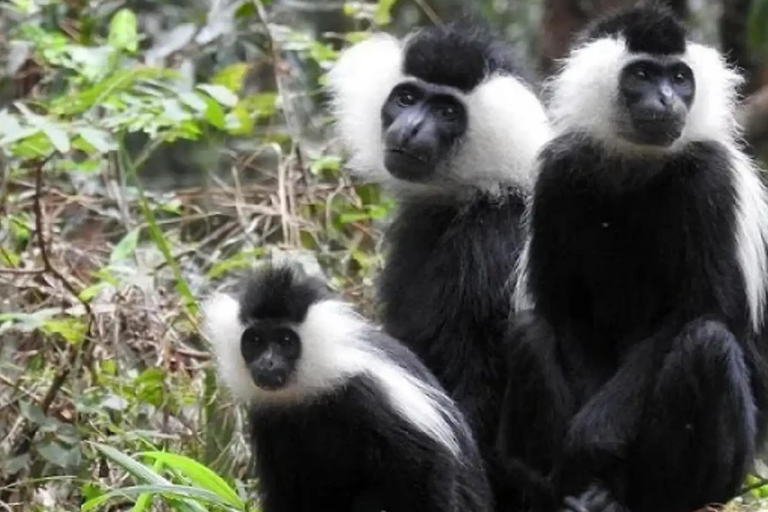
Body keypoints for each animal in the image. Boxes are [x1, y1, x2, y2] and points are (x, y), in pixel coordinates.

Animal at [202, 263, 493, 512]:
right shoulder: (269, 420)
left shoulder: (368, 396)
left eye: (285, 341)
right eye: (255, 341)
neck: (310, 390)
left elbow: (427, 465)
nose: (267, 362)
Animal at [497, 5, 768, 512]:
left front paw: (590, 438)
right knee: (531, 332)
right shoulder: (559, 174)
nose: (667, 99)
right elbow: (566, 314)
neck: (637, 163)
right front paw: (579, 458)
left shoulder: (711, 179)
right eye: (642, 75)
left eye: (680, 78)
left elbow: (703, 308)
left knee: (706, 343)